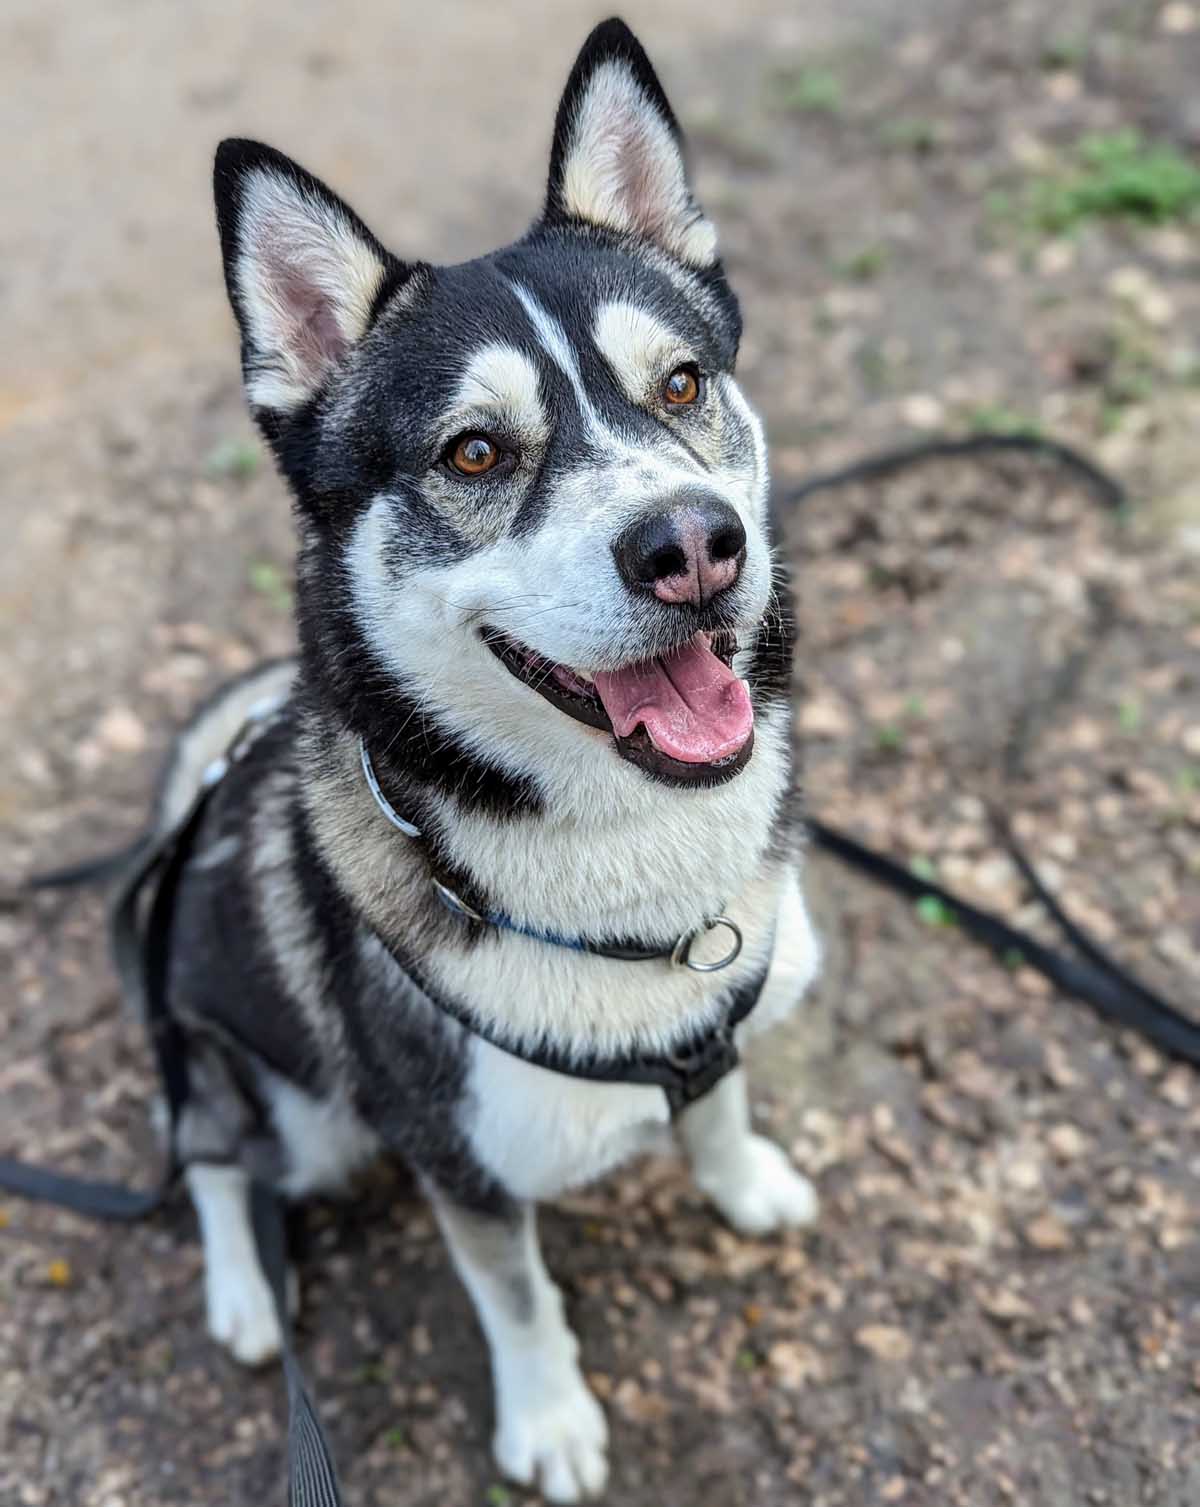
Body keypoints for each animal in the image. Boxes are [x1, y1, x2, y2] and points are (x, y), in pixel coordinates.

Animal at [166, 17, 814, 1500]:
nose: (693, 544)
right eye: (473, 452)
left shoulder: (719, 1020)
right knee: (214, 1157)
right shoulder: (459, 1161)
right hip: (286, 1099)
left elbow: (720, 1100)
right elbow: (516, 1296)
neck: (632, 877)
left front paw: (744, 1177)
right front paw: (553, 1419)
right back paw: (242, 1290)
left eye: (682, 383)